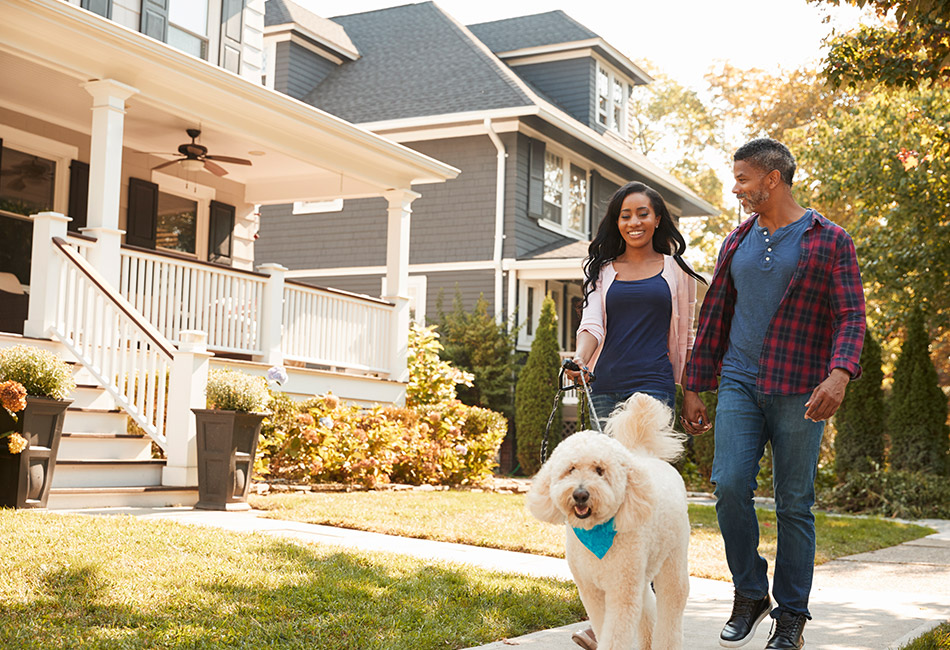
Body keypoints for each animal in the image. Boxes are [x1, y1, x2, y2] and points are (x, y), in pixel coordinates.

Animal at [528, 390, 692, 648]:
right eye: (571, 469)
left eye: (600, 470)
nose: (580, 494)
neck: (594, 532)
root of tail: (645, 455)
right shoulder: (591, 590)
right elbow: (602, 624)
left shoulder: (621, 591)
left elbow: (616, 635)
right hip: (640, 573)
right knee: (647, 605)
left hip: (672, 559)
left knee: (672, 604)